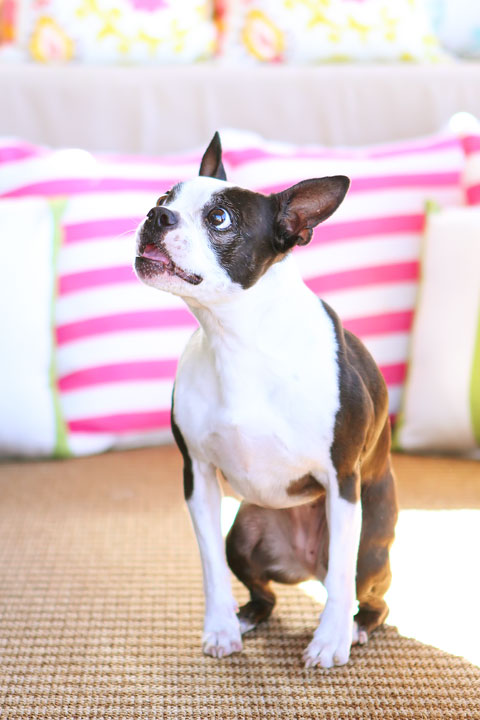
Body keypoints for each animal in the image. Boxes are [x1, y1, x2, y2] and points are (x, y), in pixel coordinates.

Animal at [135, 132, 398, 668]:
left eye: (220, 218)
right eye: (164, 197)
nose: (156, 215)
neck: (236, 338)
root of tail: (306, 566)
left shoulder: (342, 478)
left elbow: (342, 577)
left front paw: (330, 641)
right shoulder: (197, 477)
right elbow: (211, 567)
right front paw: (218, 628)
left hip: (370, 546)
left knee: (362, 591)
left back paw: (355, 628)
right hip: (245, 535)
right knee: (267, 593)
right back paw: (246, 617)